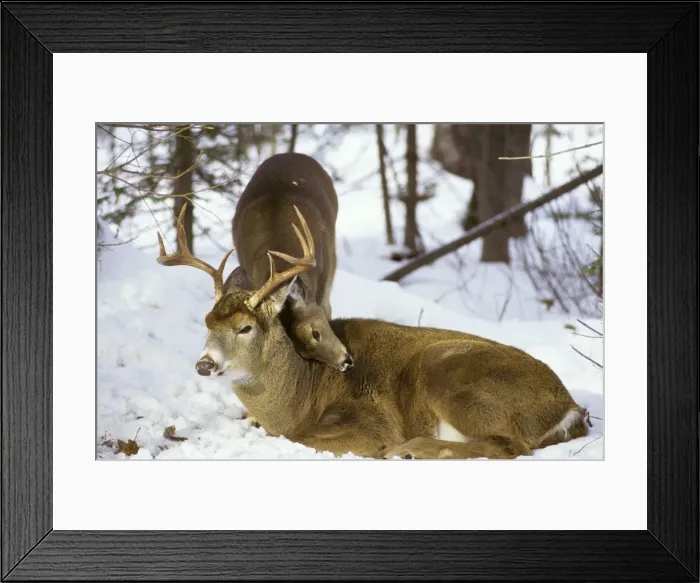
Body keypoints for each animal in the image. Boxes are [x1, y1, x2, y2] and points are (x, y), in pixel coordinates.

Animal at [156, 205, 591, 459]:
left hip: (450, 370)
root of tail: (568, 407)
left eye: (245, 327)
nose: (204, 364)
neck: (298, 397)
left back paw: (411, 448)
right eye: (207, 322)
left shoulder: (370, 420)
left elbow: (306, 438)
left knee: (509, 445)